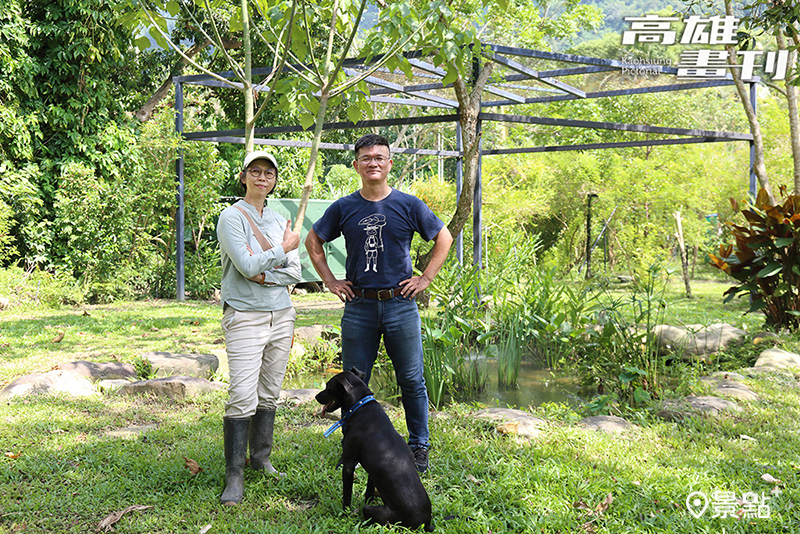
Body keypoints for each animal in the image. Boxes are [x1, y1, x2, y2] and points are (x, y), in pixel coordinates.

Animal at [316, 368, 434, 532]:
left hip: (376, 512)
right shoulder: (372, 470)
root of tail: (425, 523)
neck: (361, 405)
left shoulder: (349, 464)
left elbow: (347, 495)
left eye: (328, 387)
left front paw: (345, 513)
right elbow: (369, 492)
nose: (316, 397)